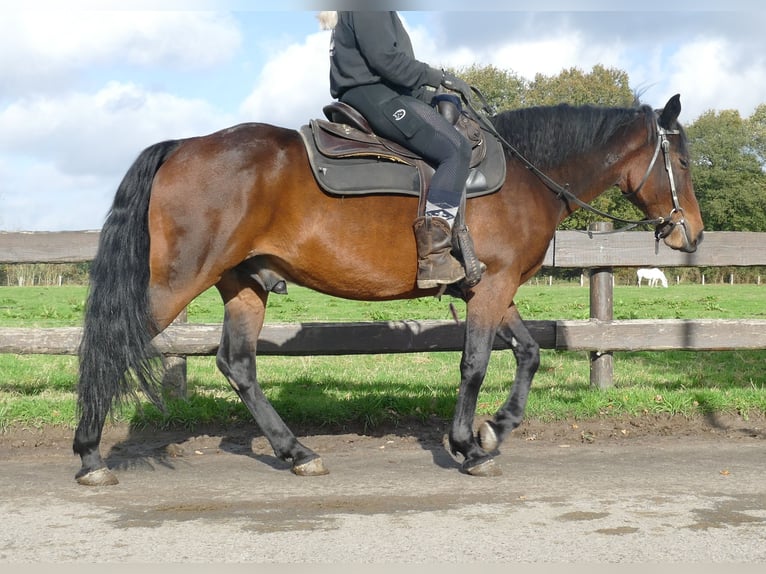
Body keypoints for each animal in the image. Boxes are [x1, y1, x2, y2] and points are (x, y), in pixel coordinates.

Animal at [75, 93, 704, 486]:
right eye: (680, 159)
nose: (691, 233)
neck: (527, 176)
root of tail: (182, 146)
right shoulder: (493, 287)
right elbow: (475, 364)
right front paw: (468, 446)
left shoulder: (493, 289)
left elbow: (528, 352)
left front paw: (495, 429)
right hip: (176, 281)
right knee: (110, 346)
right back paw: (88, 455)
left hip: (244, 283)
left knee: (238, 365)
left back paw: (296, 452)